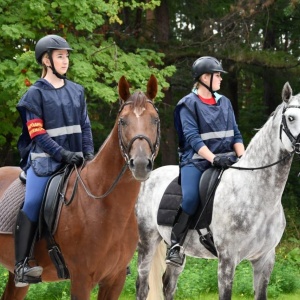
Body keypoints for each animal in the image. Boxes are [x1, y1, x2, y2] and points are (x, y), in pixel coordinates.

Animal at [0, 74, 161, 298]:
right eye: (123, 121)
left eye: (155, 120)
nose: (139, 164)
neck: (104, 204)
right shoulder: (81, 279)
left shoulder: (115, 279)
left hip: (17, 279)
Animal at [135, 81, 300, 298]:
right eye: (291, 118)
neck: (255, 193)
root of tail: (151, 176)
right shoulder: (227, 260)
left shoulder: (265, 259)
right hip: (148, 240)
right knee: (143, 285)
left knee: (168, 285)